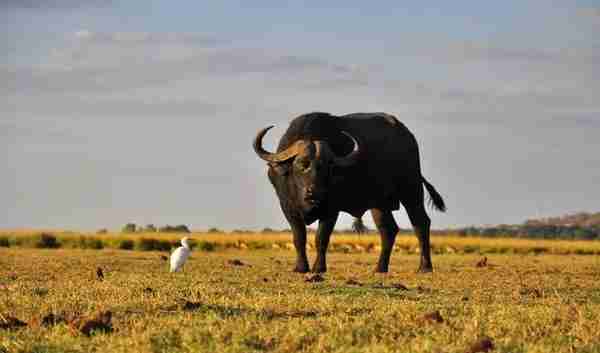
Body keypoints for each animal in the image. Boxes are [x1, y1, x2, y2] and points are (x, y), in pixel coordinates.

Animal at [253, 112, 446, 272]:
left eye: (327, 168)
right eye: (302, 164)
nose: (314, 193)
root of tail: (408, 137)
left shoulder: (331, 210)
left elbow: (321, 238)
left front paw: (319, 268)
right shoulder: (288, 208)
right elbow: (299, 237)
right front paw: (301, 268)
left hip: (411, 191)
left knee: (421, 223)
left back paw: (424, 267)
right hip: (379, 204)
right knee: (388, 229)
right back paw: (380, 268)